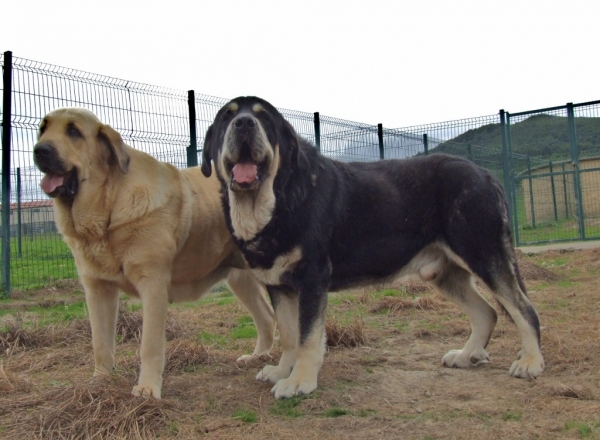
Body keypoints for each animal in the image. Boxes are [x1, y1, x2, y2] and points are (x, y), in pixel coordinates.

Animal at [202, 96, 544, 398]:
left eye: (264, 119)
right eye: (227, 118)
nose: (244, 123)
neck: (277, 198)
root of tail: (485, 174)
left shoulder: (312, 278)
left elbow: (308, 337)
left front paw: (300, 381)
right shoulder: (279, 285)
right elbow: (289, 335)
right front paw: (282, 371)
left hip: (484, 254)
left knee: (524, 309)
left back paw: (531, 362)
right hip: (446, 274)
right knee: (488, 313)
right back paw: (466, 355)